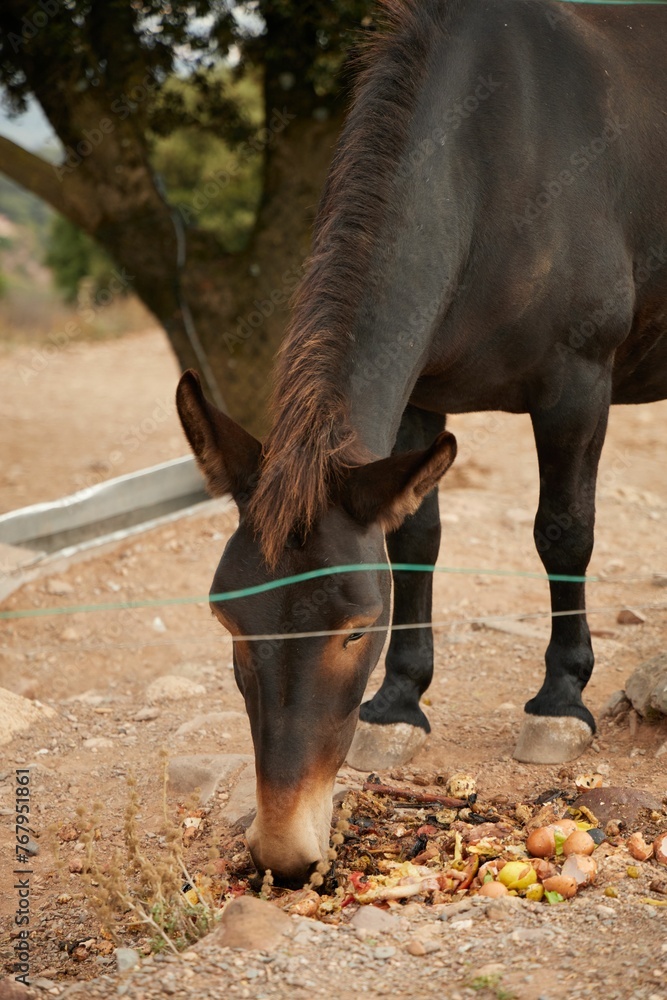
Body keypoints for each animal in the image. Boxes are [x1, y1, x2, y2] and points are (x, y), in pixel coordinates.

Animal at [176, 0, 667, 885]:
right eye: (231, 624)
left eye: (354, 630)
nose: (285, 852)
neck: (496, 158)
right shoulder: (417, 405)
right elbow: (415, 542)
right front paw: (400, 704)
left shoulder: (577, 384)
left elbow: (562, 531)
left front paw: (560, 701)